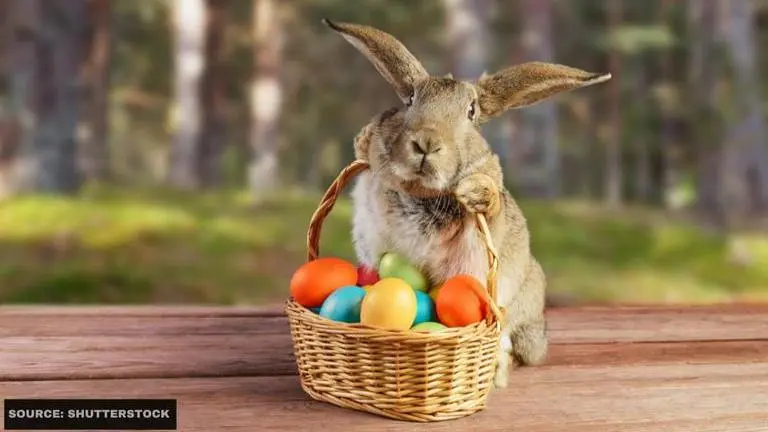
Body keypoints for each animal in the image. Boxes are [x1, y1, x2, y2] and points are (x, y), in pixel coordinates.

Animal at [324, 19, 610, 388]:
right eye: (411, 99)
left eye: (471, 112)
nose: (426, 142)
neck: (421, 190)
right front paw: (364, 138)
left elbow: (489, 202)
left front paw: (474, 192)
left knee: (513, 348)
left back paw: (499, 372)